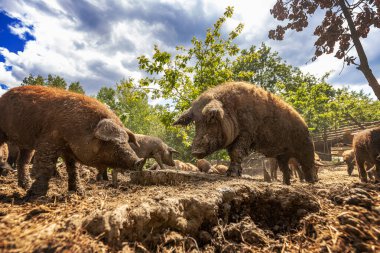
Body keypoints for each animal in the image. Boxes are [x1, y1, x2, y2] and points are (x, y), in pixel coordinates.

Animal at [0, 85, 144, 196]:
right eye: (110, 142)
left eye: (126, 140)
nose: (139, 161)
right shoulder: (48, 140)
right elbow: (46, 166)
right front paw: (34, 195)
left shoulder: (69, 150)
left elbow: (73, 170)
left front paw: (80, 193)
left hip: (26, 145)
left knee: (23, 161)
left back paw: (24, 186)